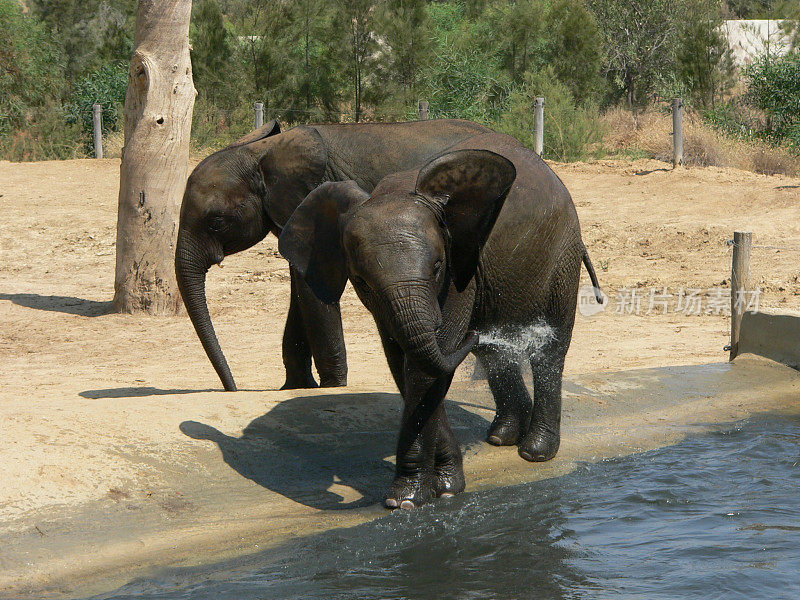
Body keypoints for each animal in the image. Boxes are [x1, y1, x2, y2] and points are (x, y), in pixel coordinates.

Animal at [174, 118, 494, 392]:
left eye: (216, 222)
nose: (232, 388)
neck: (262, 153)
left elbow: (313, 297)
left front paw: (331, 387)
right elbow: (303, 290)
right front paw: (296, 387)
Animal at [280, 134, 600, 508]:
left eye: (436, 267)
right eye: (361, 282)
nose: (473, 332)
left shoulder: (460, 267)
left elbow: (429, 364)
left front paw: (407, 499)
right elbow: (405, 363)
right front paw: (443, 487)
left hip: (562, 254)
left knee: (550, 348)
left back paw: (535, 452)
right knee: (494, 354)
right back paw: (501, 437)